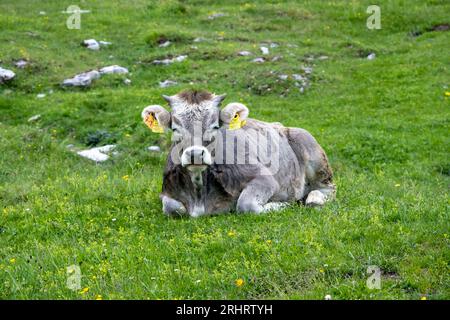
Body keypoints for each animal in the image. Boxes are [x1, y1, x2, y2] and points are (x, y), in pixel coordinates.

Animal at [142, 90, 336, 218]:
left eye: (215, 126)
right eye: (175, 128)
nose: (196, 154)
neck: (199, 196)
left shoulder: (265, 178)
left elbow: (246, 205)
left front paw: (282, 205)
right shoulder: (166, 191)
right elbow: (173, 208)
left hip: (313, 153)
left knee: (328, 189)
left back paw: (314, 199)